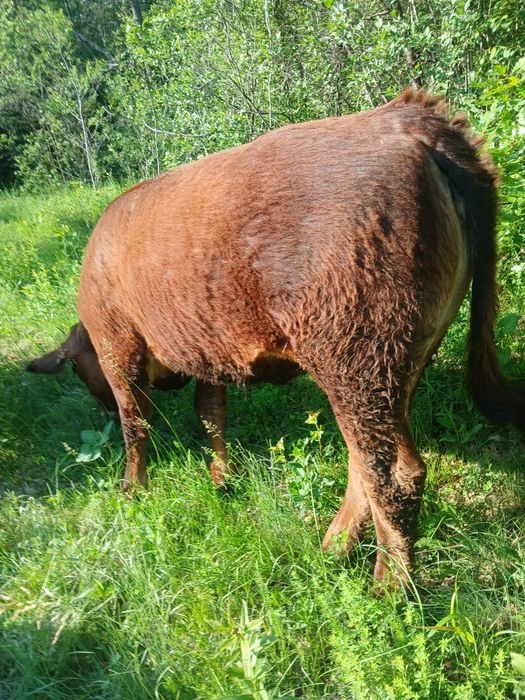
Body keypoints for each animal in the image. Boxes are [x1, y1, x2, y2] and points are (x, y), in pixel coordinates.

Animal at [28, 89, 525, 583]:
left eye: (80, 371)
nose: (100, 408)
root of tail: (403, 118)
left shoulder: (119, 350)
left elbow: (136, 427)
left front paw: (133, 490)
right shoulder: (208, 351)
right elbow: (211, 413)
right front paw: (222, 479)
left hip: (355, 364)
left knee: (393, 473)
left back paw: (389, 585)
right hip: (392, 367)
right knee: (364, 463)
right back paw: (334, 549)